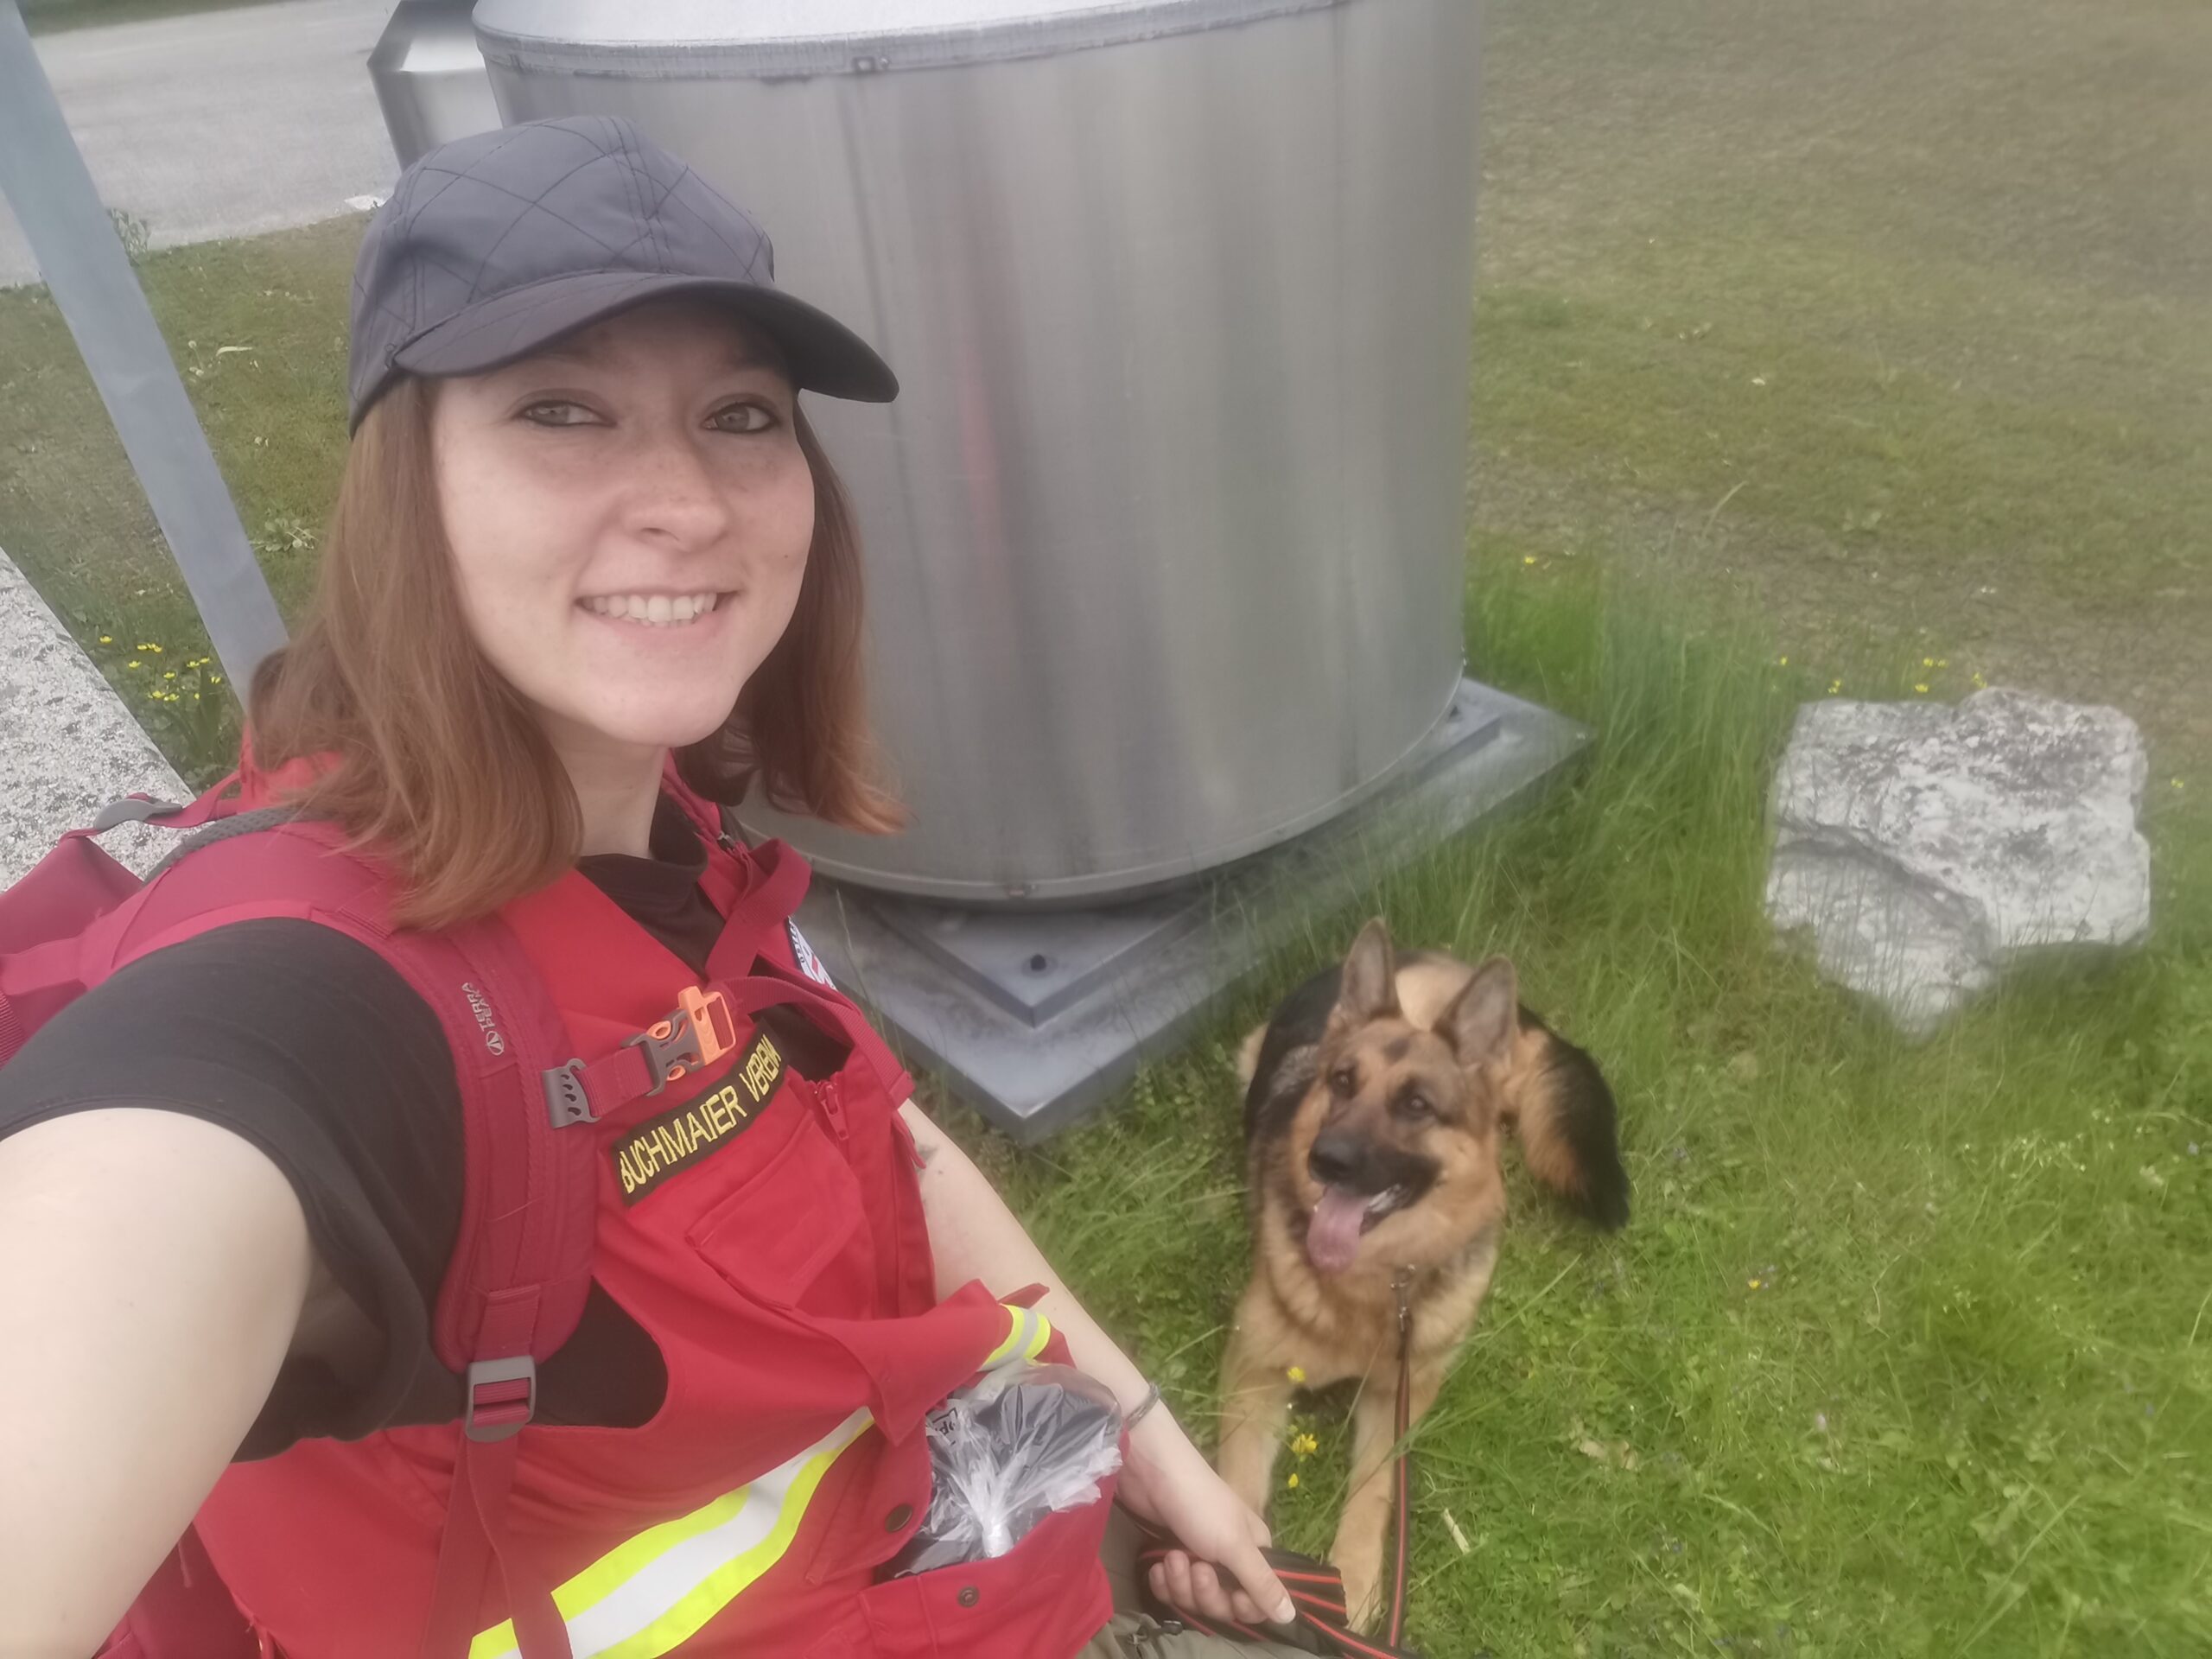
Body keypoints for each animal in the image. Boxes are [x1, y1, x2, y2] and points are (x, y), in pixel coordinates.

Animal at [1216, 918, 1629, 1629]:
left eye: (1415, 1104)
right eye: (1342, 1082)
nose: (1326, 1160)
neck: (1377, 1287)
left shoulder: (1401, 1399)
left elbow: (1375, 1491)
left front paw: (1353, 1586)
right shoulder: (1254, 1376)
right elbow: (1235, 1486)